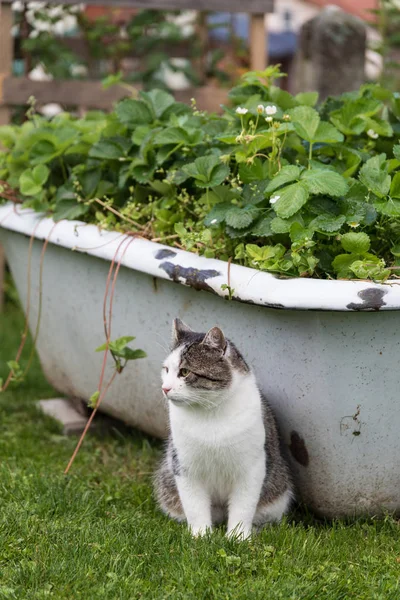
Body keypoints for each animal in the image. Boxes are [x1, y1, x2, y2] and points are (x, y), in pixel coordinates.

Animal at [154, 318, 294, 540]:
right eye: (166, 369)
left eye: (184, 372)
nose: (165, 388)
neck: (209, 413)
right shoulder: (184, 466)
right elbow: (194, 506)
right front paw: (201, 536)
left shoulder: (252, 468)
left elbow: (243, 507)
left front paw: (238, 537)